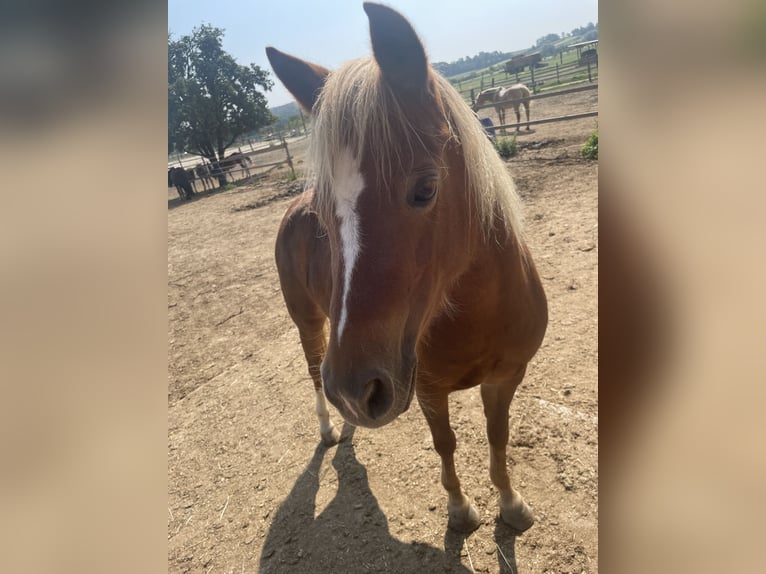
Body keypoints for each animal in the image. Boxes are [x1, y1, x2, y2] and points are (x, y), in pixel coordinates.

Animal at [268, 3, 548, 536]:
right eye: (325, 214)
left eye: (424, 189)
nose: (354, 391)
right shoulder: (428, 390)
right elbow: (446, 444)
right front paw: (460, 510)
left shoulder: (506, 377)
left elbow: (497, 437)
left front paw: (511, 503)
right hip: (308, 322)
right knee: (313, 370)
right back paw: (328, 425)